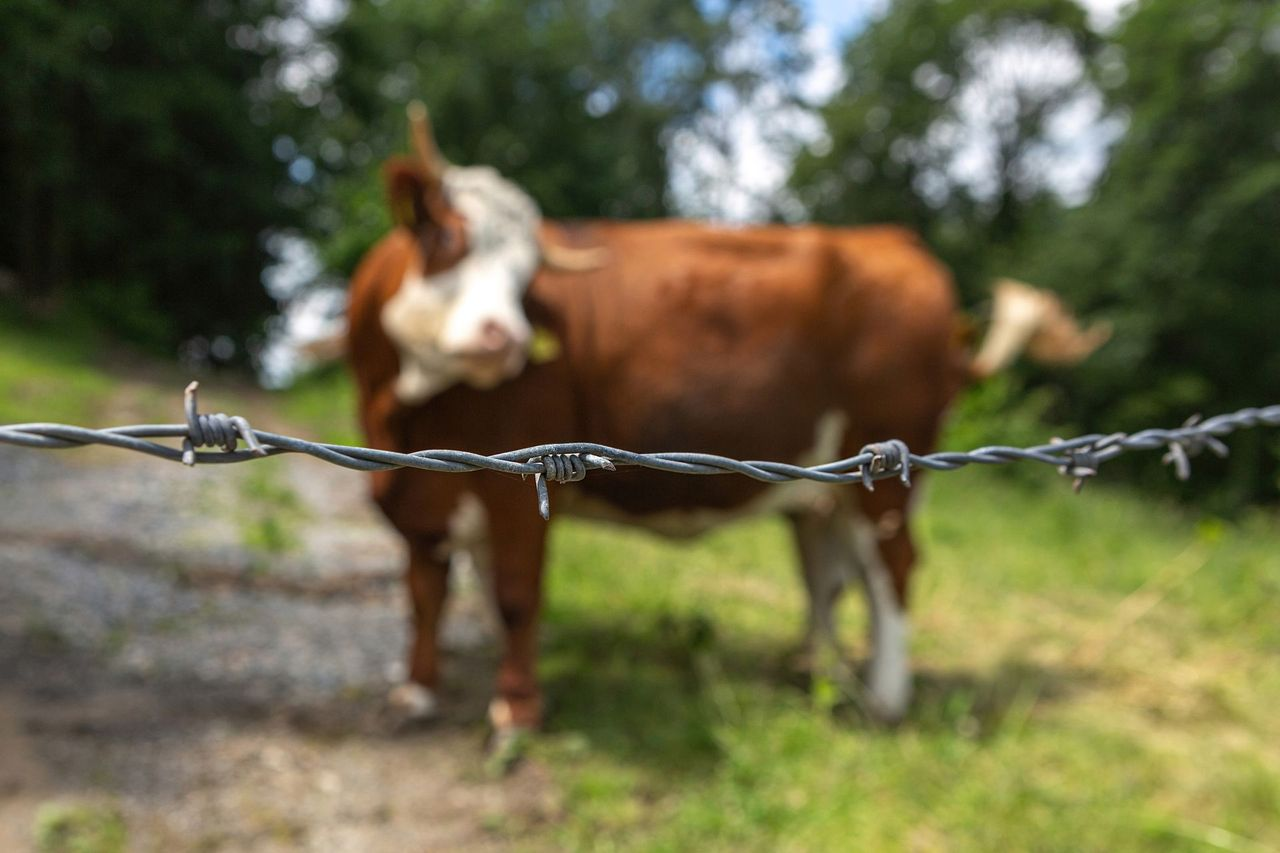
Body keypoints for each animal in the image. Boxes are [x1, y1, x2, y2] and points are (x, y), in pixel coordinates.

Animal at [345, 104, 1107, 753]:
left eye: (526, 273)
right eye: (447, 237)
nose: (503, 338)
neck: (405, 416)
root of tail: (895, 240)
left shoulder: (519, 483)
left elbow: (514, 597)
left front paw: (516, 713)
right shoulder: (419, 493)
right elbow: (424, 590)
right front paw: (417, 689)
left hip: (890, 467)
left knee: (890, 567)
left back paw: (884, 701)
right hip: (826, 484)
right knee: (828, 570)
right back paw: (818, 669)